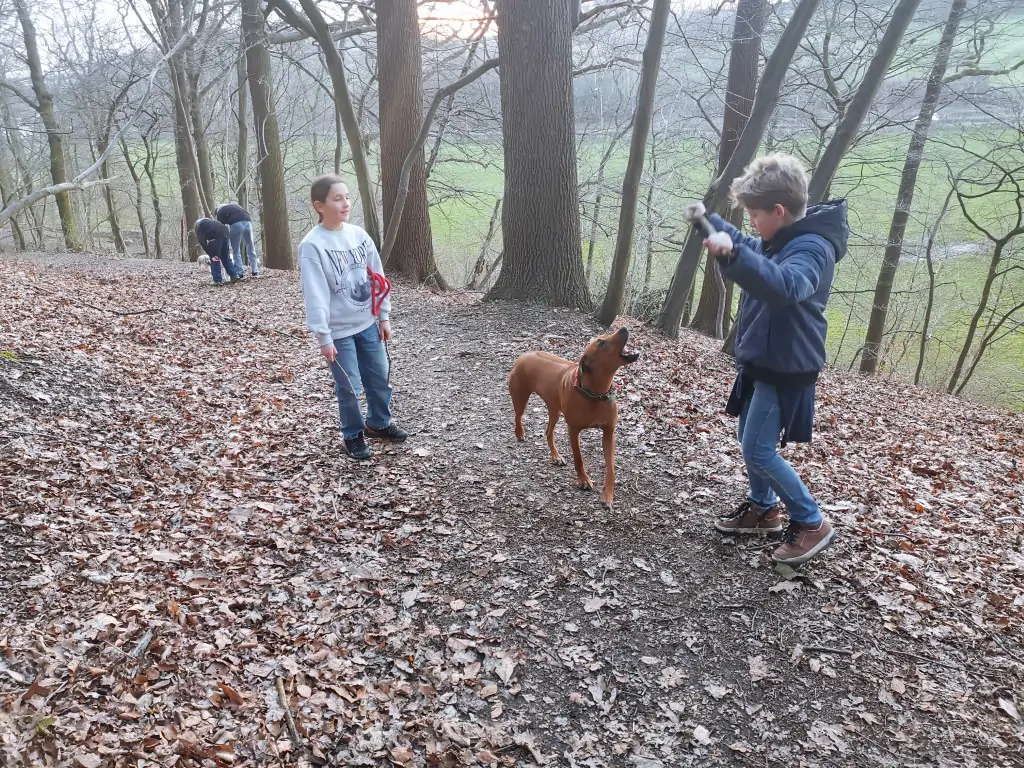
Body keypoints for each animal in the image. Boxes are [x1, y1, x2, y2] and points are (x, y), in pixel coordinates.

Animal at [505, 325, 638, 512]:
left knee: (548, 432)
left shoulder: (609, 432)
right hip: (520, 397)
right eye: (602, 344)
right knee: (518, 415)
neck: (596, 395)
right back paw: (519, 432)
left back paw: (556, 456)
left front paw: (608, 495)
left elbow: (611, 467)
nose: (624, 328)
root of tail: (524, 354)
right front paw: (583, 480)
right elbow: (578, 457)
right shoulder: (573, 430)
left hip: (554, 409)